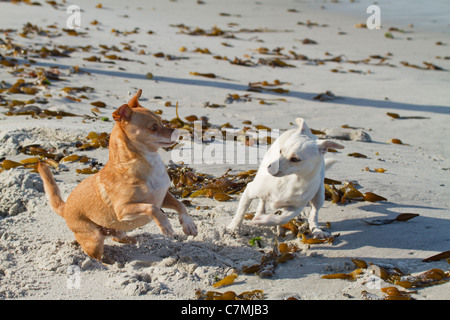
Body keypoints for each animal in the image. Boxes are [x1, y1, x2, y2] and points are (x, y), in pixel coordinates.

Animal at [39, 89, 198, 260]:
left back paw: (132, 240)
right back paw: (107, 262)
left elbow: (180, 204)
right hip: (94, 237)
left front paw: (189, 225)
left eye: (162, 122)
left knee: (117, 236)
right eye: (154, 127)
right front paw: (165, 224)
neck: (148, 162)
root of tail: (65, 207)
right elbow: (151, 208)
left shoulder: (163, 196)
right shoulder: (123, 209)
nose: (178, 131)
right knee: (95, 255)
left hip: (115, 229)